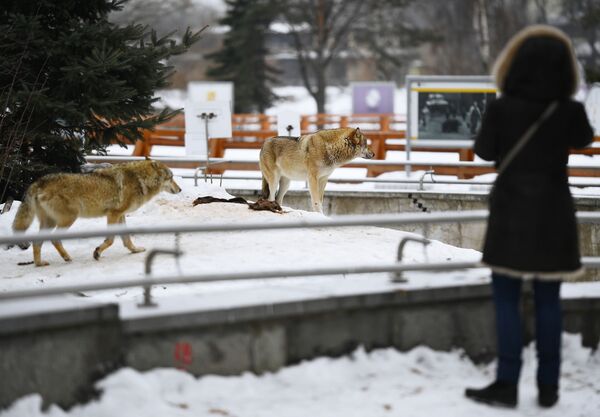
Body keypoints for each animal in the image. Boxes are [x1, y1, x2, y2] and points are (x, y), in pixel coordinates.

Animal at [12, 159, 180, 266]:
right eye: (171, 177)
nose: (180, 189)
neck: (140, 179)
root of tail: (39, 182)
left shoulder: (120, 215)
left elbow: (126, 239)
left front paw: (135, 250)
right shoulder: (113, 214)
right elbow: (110, 240)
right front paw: (97, 253)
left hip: (50, 222)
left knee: (37, 242)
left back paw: (39, 263)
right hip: (69, 218)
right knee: (54, 239)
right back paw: (66, 257)